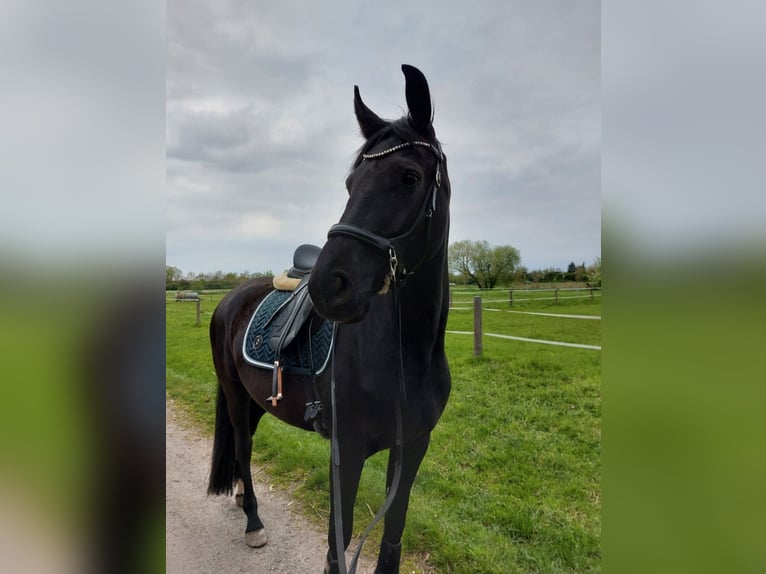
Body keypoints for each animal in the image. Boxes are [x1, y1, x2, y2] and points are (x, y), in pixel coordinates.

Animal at [207, 65, 452, 572]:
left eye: (409, 176)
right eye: (350, 183)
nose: (327, 285)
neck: (407, 355)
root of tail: (229, 300)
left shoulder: (413, 446)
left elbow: (392, 535)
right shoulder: (348, 452)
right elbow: (336, 549)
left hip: (257, 399)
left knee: (244, 447)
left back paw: (240, 497)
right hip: (236, 397)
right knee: (242, 445)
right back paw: (253, 521)